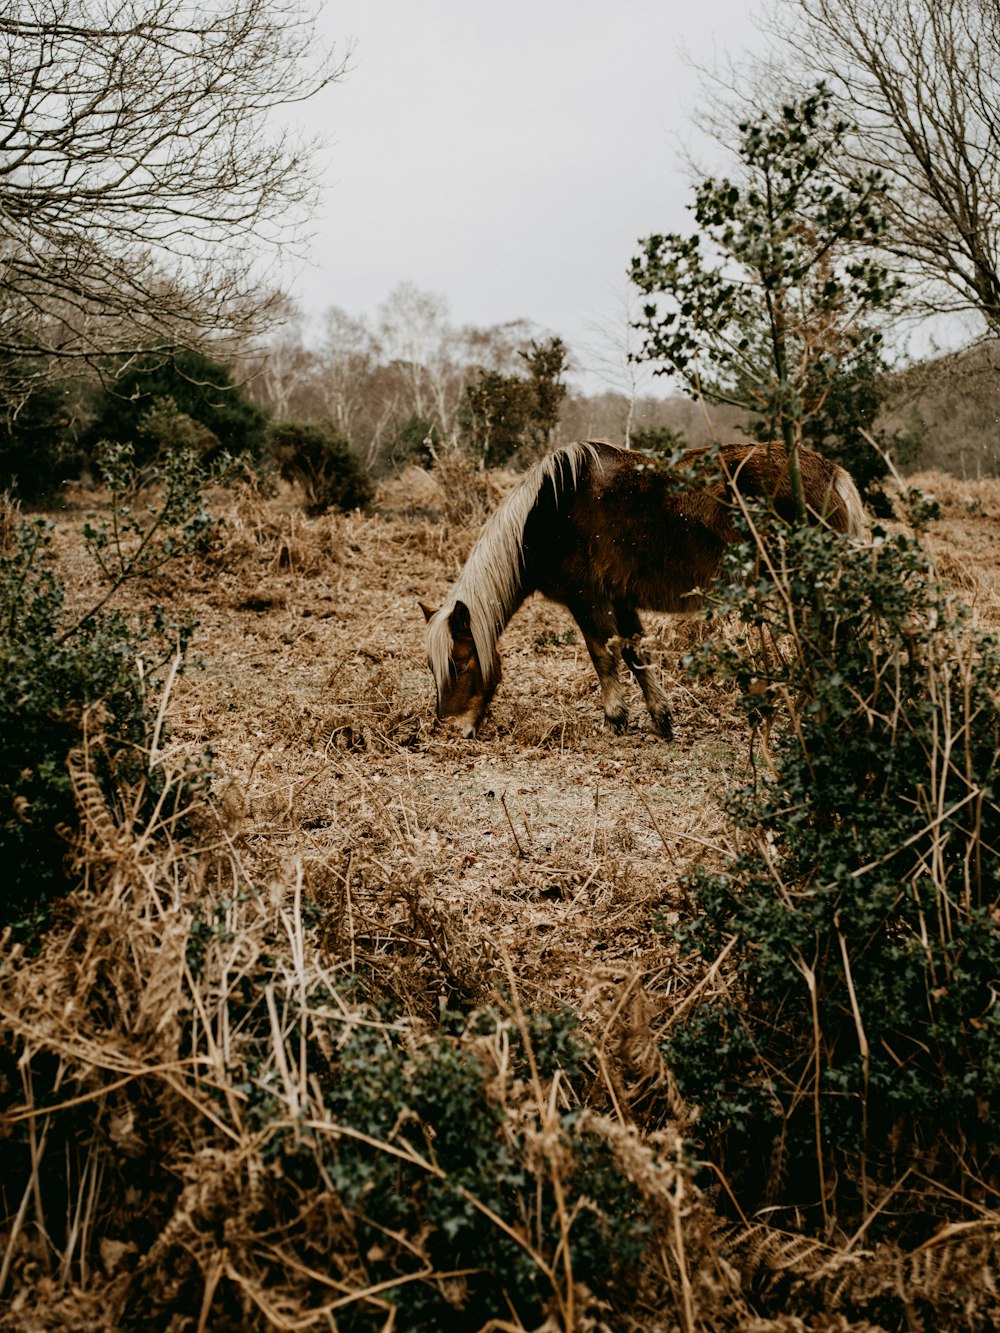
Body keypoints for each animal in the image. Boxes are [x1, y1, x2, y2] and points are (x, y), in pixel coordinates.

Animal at [418, 445, 864, 741]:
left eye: (459, 663)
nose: (449, 729)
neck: (546, 513)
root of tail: (831, 471)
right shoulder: (621, 599)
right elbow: (636, 654)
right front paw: (661, 719)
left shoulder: (587, 599)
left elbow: (603, 655)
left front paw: (615, 719)